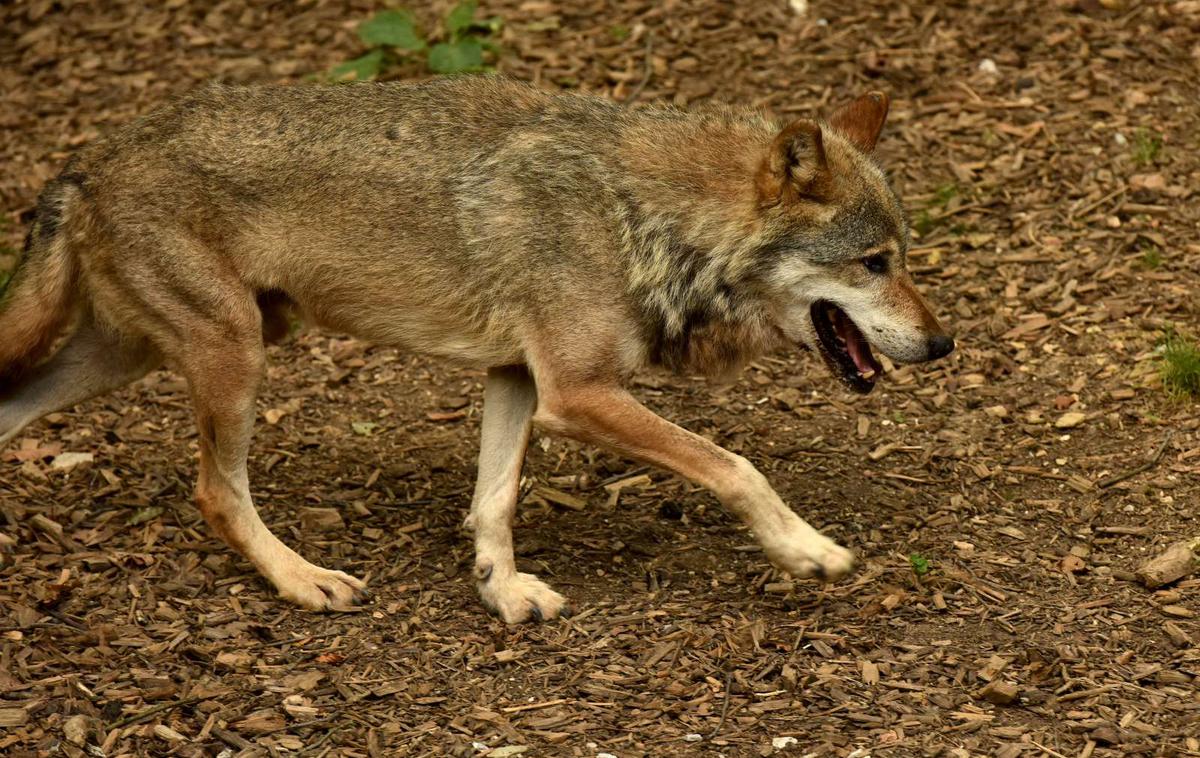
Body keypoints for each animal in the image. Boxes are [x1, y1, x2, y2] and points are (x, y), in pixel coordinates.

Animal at [2, 76, 955, 623]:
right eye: (875, 263)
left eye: (906, 256)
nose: (943, 343)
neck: (642, 216)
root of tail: (84, 162)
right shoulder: (578, 392)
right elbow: (734, 465)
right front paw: (805, 550)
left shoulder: (516, 378)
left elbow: (494, 500)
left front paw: (502, 591)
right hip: (233, 359)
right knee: (215, 492)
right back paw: (303, 580)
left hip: (131, 357)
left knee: (13, 411)